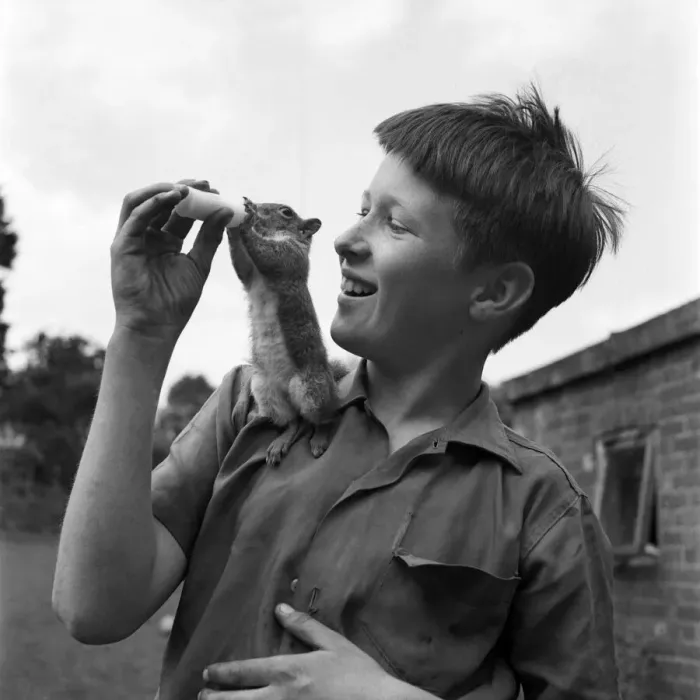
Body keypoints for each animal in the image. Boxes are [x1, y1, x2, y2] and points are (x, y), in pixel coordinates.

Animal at [227, 197, 349, 467]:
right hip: (265, 391)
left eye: (286, 212)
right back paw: (281, 441)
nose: (259, 207)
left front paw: (247, 218)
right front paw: (233, 225)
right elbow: (241, 263)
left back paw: (319, 438)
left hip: (311, 389)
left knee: (323, 418)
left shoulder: (290, 257)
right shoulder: (250, 272)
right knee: (293, 421)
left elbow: (268, 255)